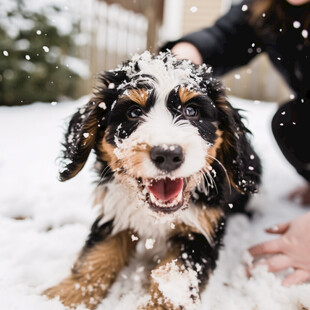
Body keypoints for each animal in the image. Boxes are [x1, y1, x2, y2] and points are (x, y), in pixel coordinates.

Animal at [44, 52, 262, 308]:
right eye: (133, 113)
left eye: (192, 111)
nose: (167, 154)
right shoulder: (115, 213)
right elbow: (96, 256)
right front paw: (63, 297)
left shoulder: (201, 229)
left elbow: (175, 275)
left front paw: (157, 305)